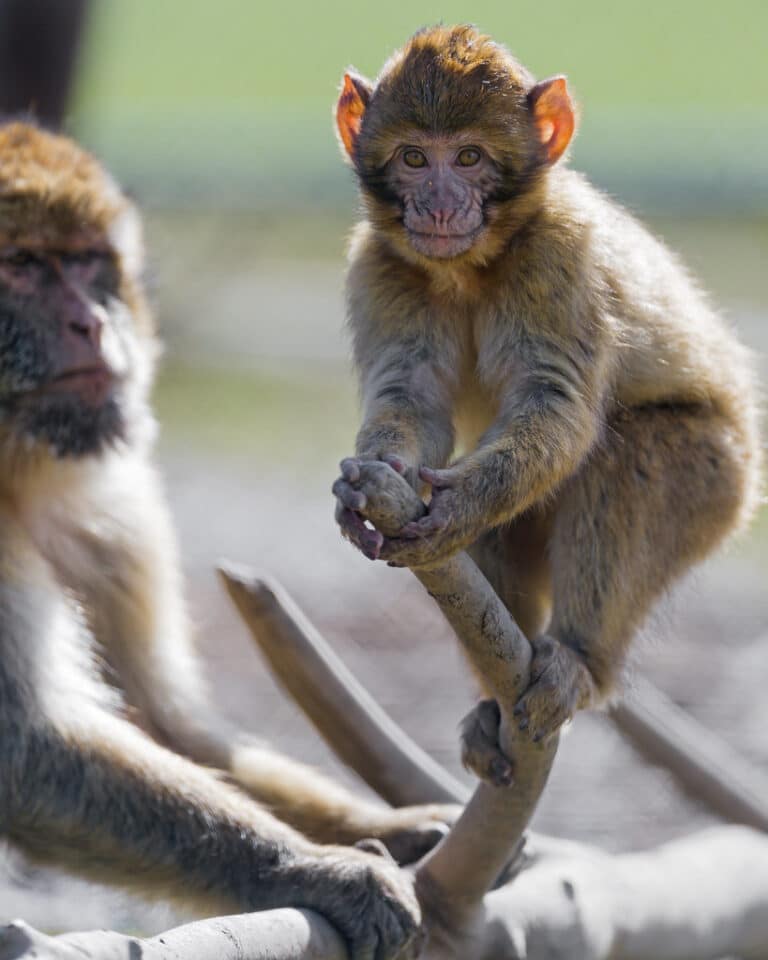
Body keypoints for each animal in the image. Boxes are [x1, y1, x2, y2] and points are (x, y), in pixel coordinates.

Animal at [0, 120, 460, 960]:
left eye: (86, 264)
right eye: (18, 266)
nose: (93, 323)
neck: (13, 466)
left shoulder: (118, 515)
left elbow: (169, 722)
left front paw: (382, 828)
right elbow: (23, 744)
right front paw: (311, 871)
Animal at [332, 25, 762, 781]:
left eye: (468, 157)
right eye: (414, 157)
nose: (438, 203)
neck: (470, 269)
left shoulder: (560, 260)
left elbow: (558, 406)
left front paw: (458, 507)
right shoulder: (380, 265)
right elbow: (413, 403)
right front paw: (370, 484)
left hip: (720, 480)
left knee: (631, 456)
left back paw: (580, 662)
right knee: (507, 528)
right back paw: (496, 701)